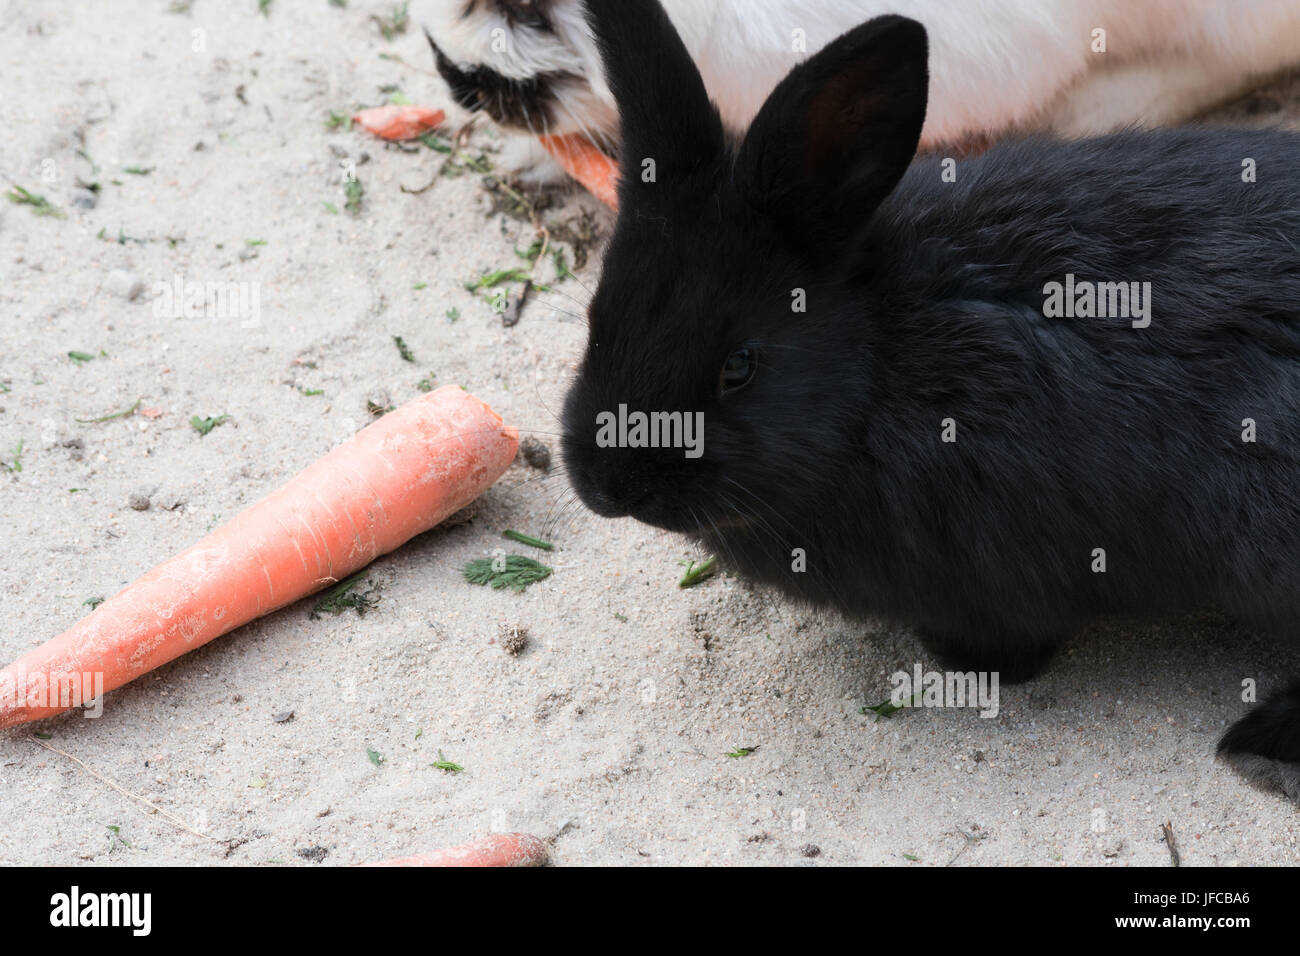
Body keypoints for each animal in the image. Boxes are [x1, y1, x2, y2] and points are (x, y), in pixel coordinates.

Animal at [560, 0, 1300, 802]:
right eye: (596, 320)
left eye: (739, 367)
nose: (608, 485)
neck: (875, 372)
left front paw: (958, 661)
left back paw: (1262, 750)